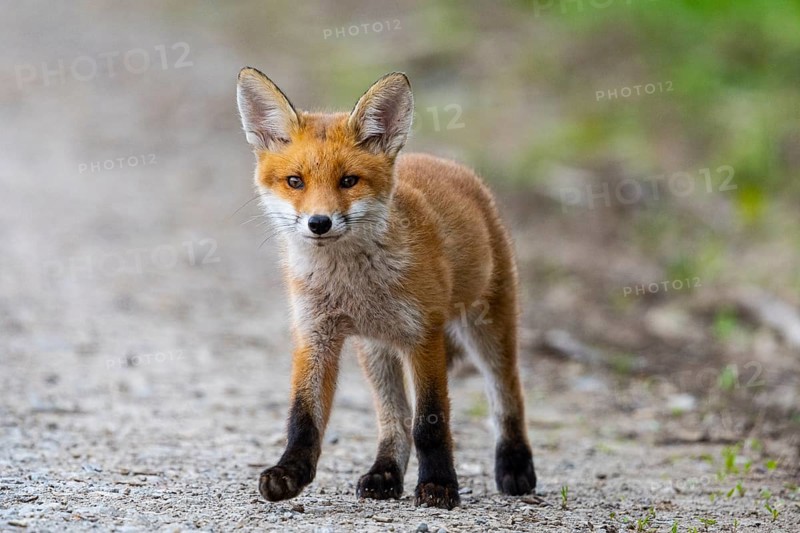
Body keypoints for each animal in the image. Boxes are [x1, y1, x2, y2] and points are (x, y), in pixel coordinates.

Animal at [236, 68, 536, 510]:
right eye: (295, 181)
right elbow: (303, 417)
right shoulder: (315, 335)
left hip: (486, 328)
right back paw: (385, 472)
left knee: (507, 394)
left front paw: (439, 485)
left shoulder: (424, 335)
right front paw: (290, 472)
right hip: (376, 351)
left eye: (348, 181)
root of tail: (444, 163)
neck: (354, 287)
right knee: (393, 418)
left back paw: (514, 464)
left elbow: (430, 423)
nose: (319, 223)